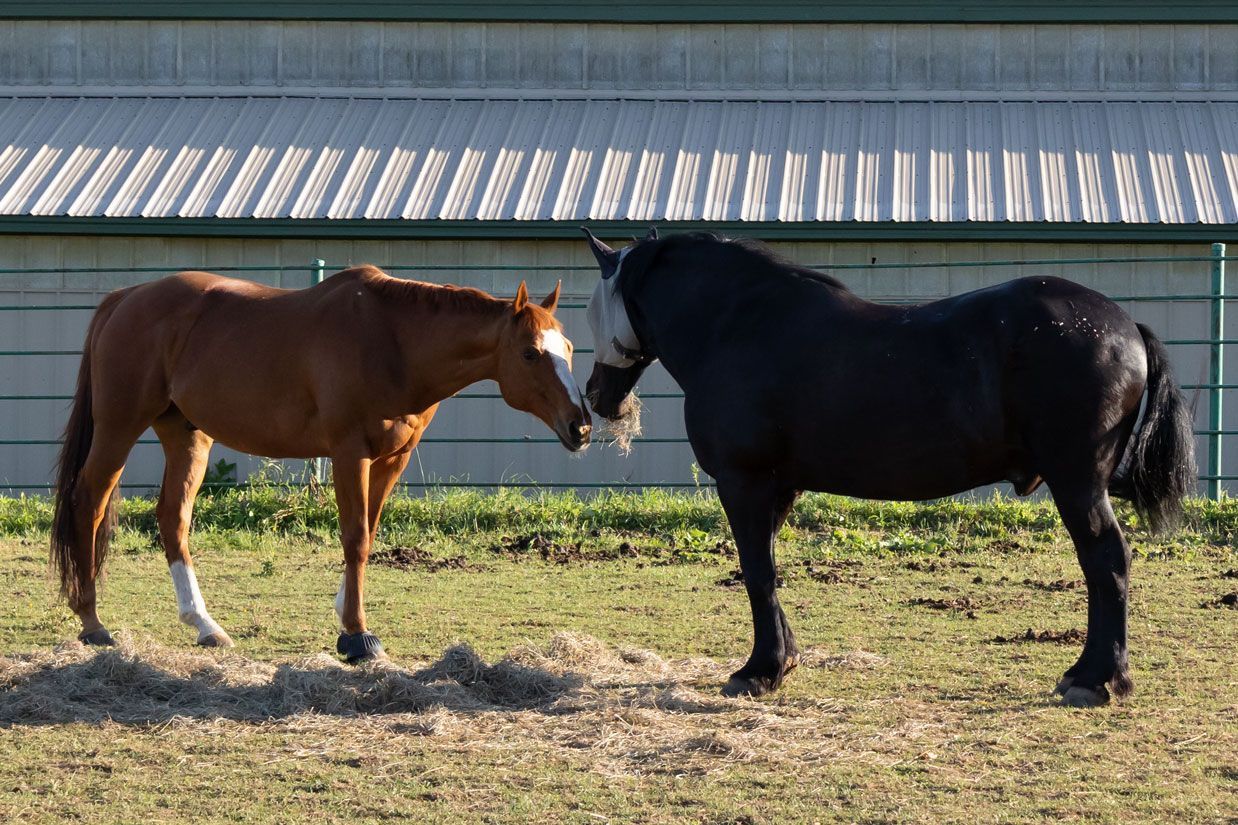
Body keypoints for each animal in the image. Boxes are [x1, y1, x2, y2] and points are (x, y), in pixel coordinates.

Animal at [52, 265, 591, 662]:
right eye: (530, 353)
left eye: (566, 349)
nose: (581, 426)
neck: (393, 341)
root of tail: (126, 296)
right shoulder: (350, 454)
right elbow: (354, 538)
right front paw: (357, 636)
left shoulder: (392, 460)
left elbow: (369, 532)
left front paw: (345, 613)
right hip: (120, 426)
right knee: (89, 501)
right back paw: (92, 621)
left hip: (187, 436)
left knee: (172, 519)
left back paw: (204, 625)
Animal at [581, 228, 1196, 708]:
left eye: (590, 311)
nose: (595, 396)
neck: (736, 326)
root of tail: (1125, 324)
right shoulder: (779, 488)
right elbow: (770, 570)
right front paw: (784, 659)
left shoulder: (743, 483)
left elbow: (756, 573)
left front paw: (759, 671)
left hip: (1077, 483)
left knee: (1106, 562)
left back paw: (1097, 680)